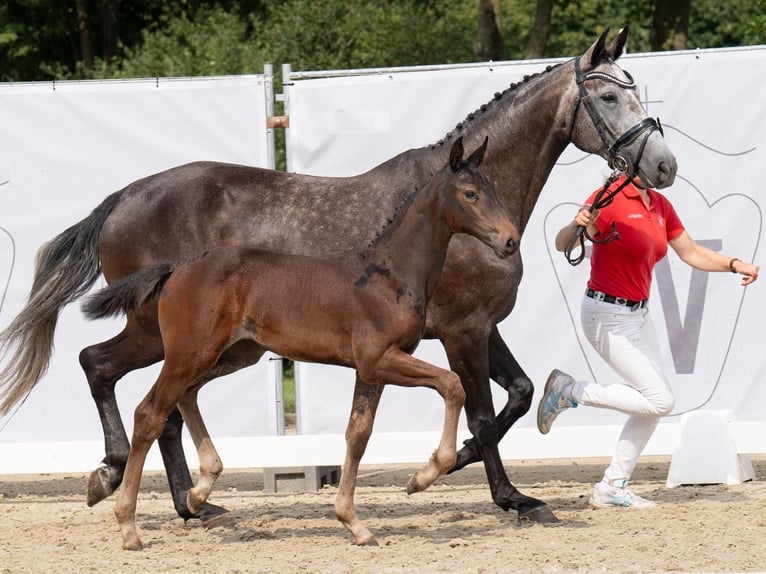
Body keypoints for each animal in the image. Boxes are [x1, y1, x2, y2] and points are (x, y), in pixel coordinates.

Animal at [84, 137, 524, 552]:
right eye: (470, 193)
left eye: (494, 189)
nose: (510, 241)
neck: (393, 271)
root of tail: (178, 267)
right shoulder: (379, 359)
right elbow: (453, 385)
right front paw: (422, 477)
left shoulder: (371, 369)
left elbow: (358, 434)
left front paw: (354, 523)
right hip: (189, 352)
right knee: (149, 412)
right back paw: (128, 523)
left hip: (230, 354)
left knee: (185, 396)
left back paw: (197, 494)